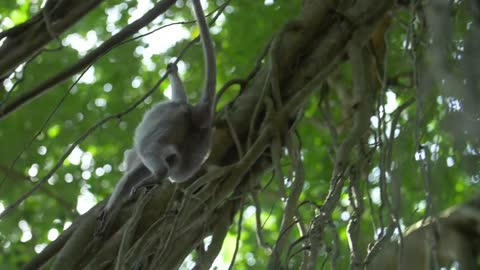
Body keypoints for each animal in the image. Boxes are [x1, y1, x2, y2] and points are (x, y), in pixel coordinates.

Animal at [96, 0, 216, 233]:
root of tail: (195, 115)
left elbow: (127, 179)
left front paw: (110, 208)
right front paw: (173, 70)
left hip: (169, 120)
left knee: (150, 151)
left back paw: (157, 174)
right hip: (196, 151)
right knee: (176, 173)